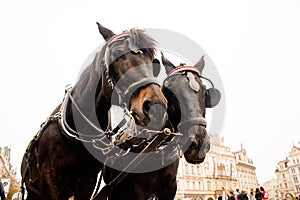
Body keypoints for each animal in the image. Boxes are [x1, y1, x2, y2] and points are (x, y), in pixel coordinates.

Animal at [19, 22, 168, 199]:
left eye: (153, 61)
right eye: (116, 53)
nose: (156, 105)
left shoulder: (87, 184)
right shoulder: (49, 180)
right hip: (33, 191)